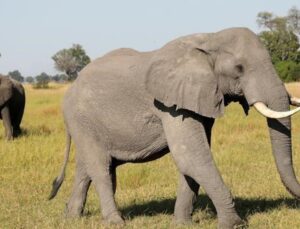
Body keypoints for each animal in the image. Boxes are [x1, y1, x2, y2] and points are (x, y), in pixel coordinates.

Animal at [49, 27, 300, 228]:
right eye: (239, 68)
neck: (210, 38)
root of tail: (70, 88)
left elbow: (191, 161)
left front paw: (182, 223)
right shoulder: (169, 105)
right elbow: (191, 157)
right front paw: (234, 224)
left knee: (88, 168)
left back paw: (71, 218)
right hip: (81, 119)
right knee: (100, 168)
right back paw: (115, 222)